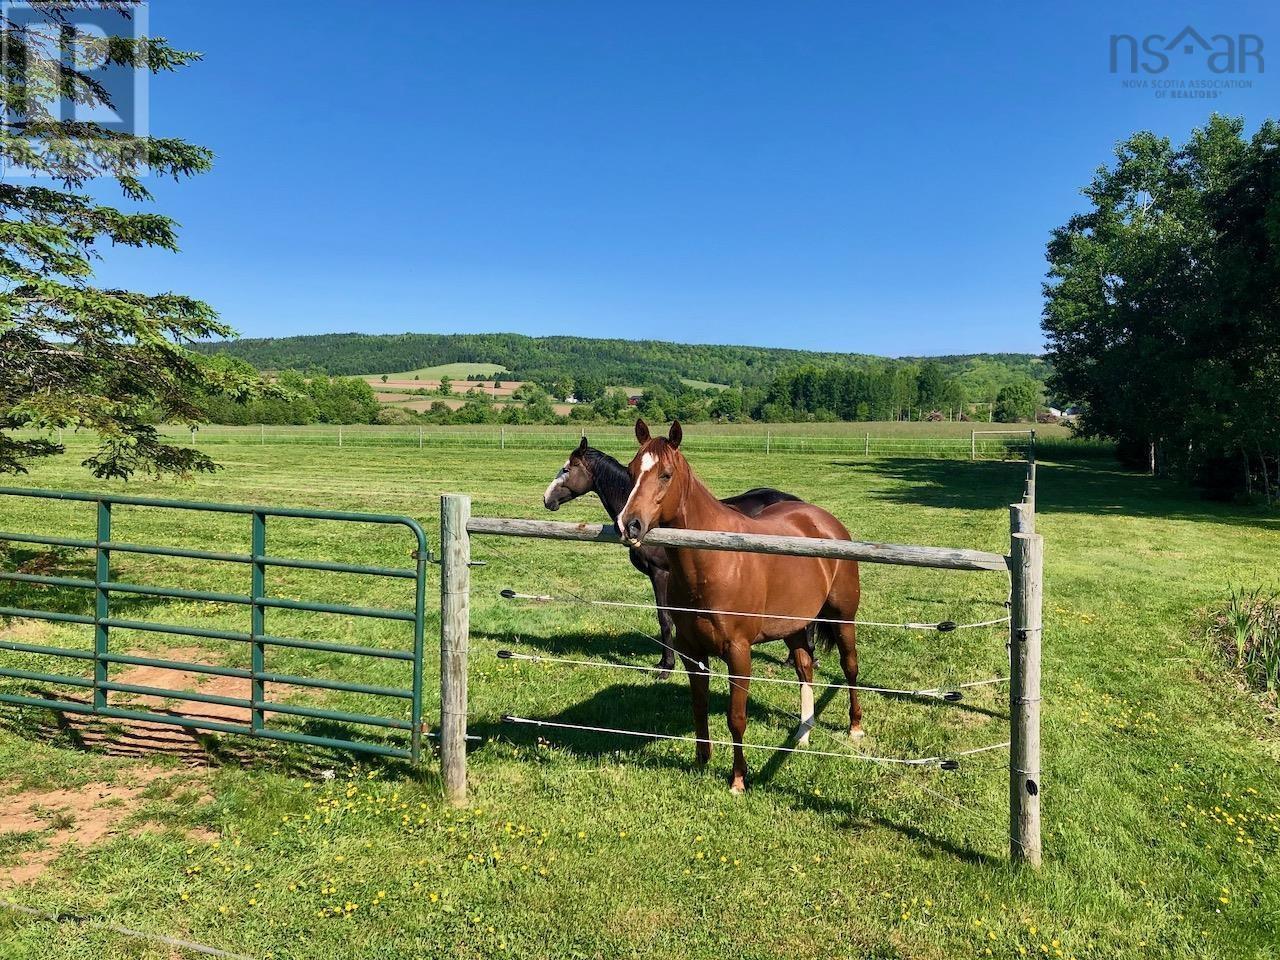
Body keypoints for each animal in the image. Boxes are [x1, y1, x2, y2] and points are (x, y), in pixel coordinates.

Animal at [616, 417, 860, 793]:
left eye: (666, 474)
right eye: (630, 471)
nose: (629, 525)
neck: (714, 561)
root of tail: (824, 520)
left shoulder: (739, 652)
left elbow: (736, 718)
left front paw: (738, 779)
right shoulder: (692, 651)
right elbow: (699, 707)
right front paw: (701, 761)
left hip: (843, 619)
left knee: (850, 667)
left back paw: (855, 729)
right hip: (793, 625)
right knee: (805, 668)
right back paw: (803, 734)